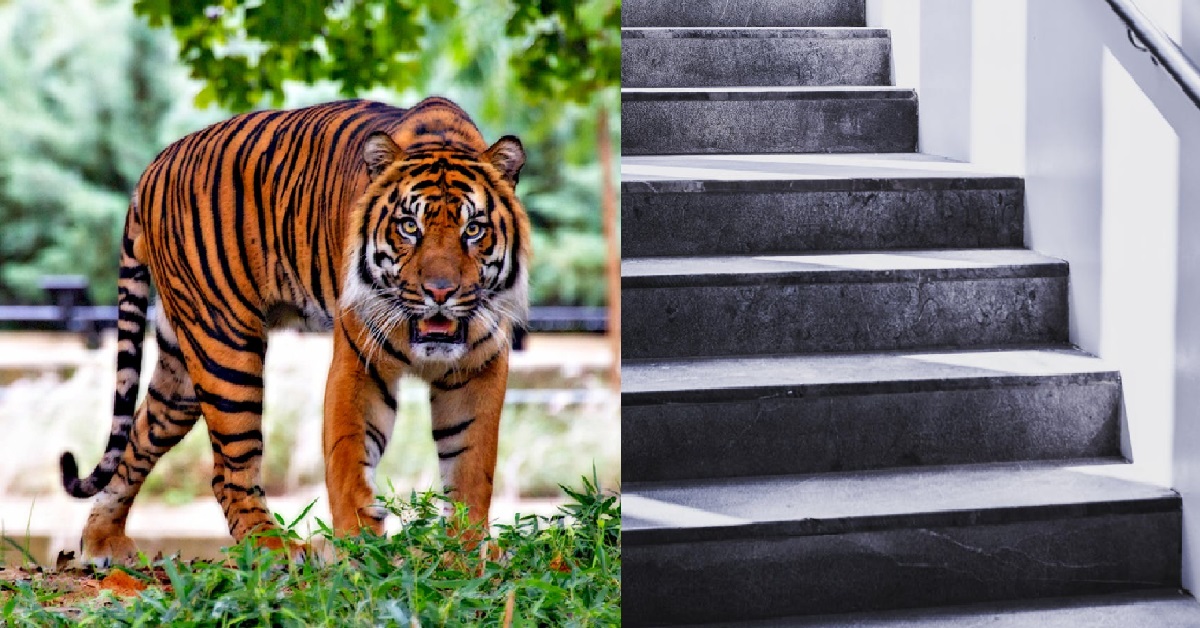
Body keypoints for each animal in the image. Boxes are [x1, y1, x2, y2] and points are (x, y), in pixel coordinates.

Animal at [58, 97, 531, 565]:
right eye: (409, 227)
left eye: (473, 229)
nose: (440, 292)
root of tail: (154, 164)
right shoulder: (359, 362)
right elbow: (349, 458)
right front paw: (360, 552)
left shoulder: (479, 368)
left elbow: (471, 467)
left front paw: (465, 552)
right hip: (225, 347)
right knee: (228, 471)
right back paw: (275, 548)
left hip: (182, 369)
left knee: (138, 438)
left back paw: (102, 541)